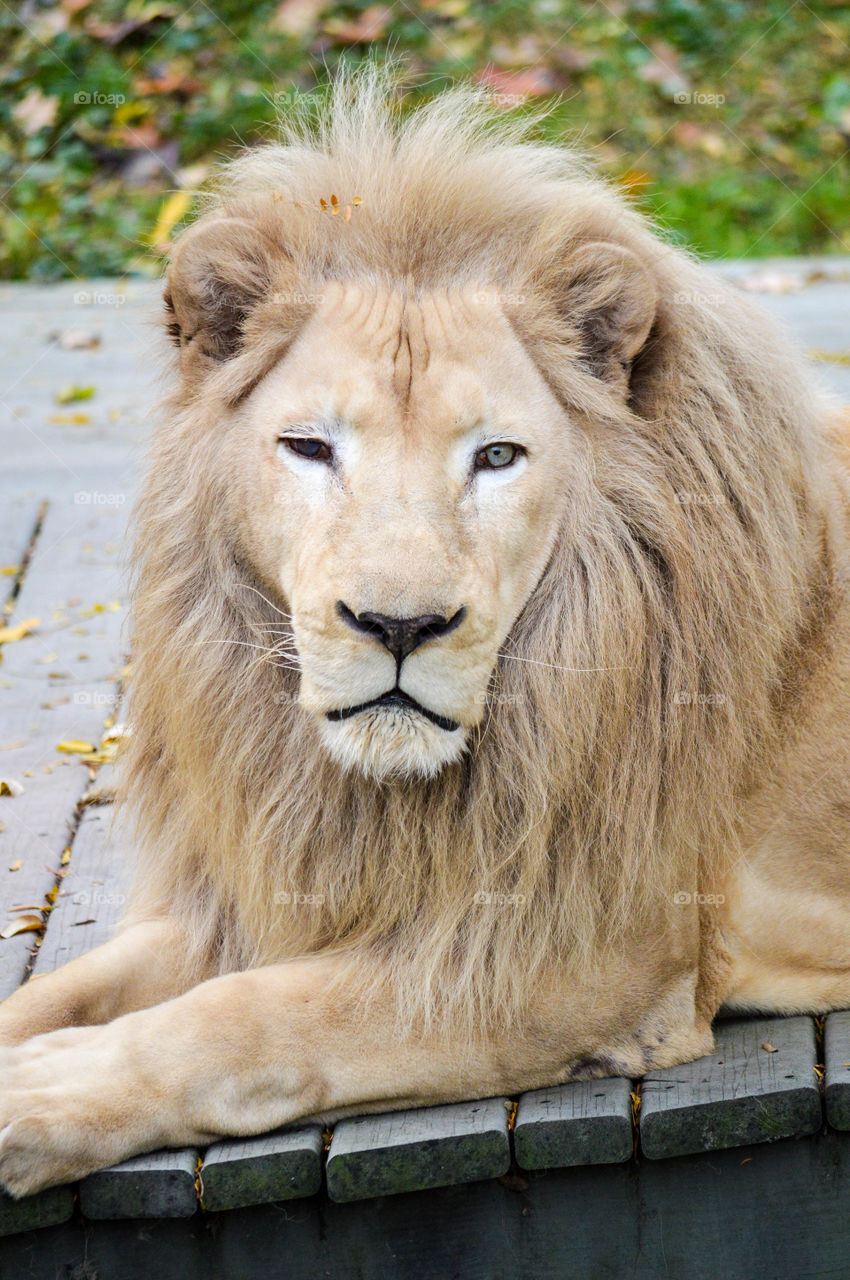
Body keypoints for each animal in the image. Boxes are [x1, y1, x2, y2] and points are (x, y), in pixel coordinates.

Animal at [1, 64, 850, 1192]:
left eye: (495, 456)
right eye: (309, 447)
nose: (398, 625)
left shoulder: (581, 951)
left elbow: (248, 1020)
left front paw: (42, 1093)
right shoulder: (266, 896)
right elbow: (64, 988)